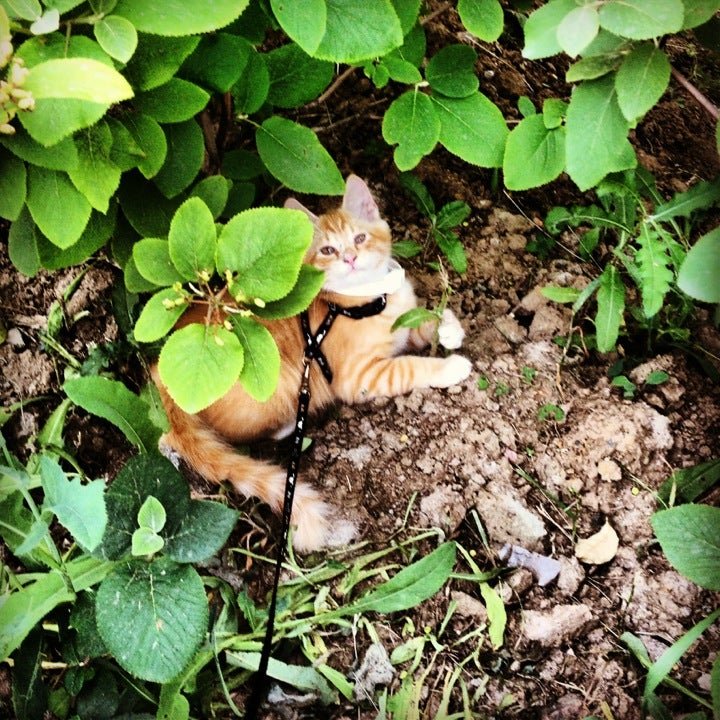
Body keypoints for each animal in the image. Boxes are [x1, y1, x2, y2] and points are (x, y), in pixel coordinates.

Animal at [152, 175, 472, 551]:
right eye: (328, 250)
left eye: (359, 238)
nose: (350, 258)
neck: (368, 299)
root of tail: (164, 377)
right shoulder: (359, 377)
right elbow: (410, 366)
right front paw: (451, 367)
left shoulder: (402, 320)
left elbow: (423, 319)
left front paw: (449, 327)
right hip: (282, 380)